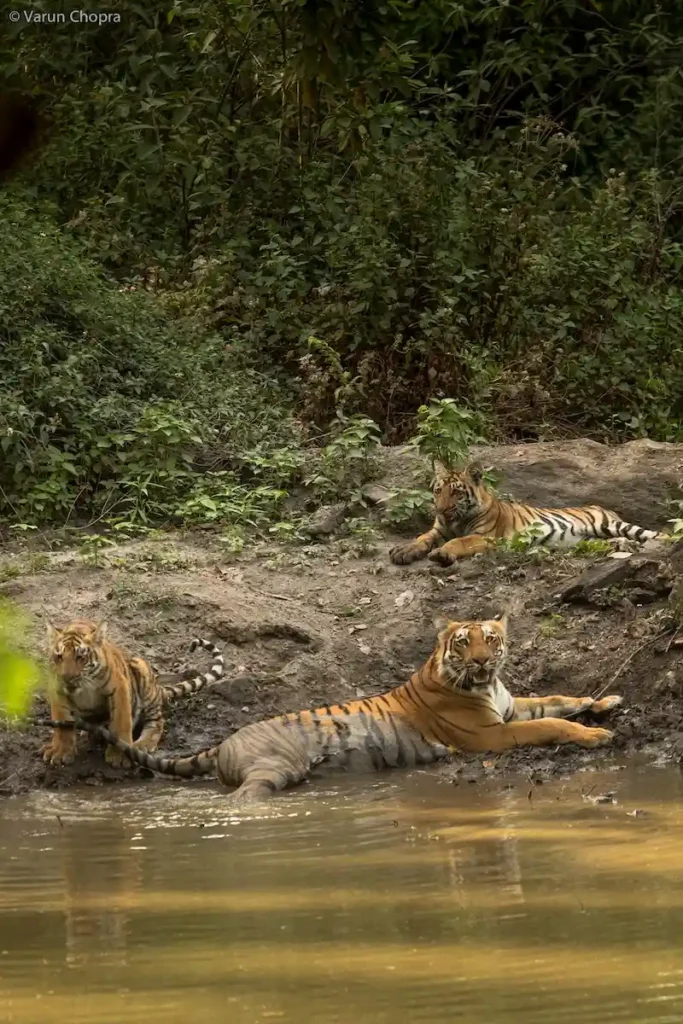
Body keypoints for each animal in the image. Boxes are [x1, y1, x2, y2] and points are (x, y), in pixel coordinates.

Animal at [43, 619, 224, 768]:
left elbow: (121, 722)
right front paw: (61, 752)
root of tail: (159, 688)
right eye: (59, 656)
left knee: (157, 722)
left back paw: (142, 744)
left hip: (141, 670)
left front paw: (120, 756)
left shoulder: (119, 687)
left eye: (80, 657)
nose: (66, 678)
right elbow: (63, 724)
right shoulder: (56, 690)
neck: (84, 686)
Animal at [65, 613, 622, 807]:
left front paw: (606, 702)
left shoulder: (508, 709)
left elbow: (555, 700)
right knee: (245, 793)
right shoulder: (490, 734)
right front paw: (597, 735)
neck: (485, 687)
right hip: (278, 765)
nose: (484, 661)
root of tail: (223, 741)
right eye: (465, 644)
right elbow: (551, 721)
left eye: (493, 639)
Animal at [390, 460, 665, 566]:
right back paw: (625, 547)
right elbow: (421, 538)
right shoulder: (438, 529)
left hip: (608, 524)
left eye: (456, 493)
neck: (455, 520)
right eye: (438, 491)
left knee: (651, 534)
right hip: (592, 539)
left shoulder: (486, 537)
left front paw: (442, 553)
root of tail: (602, 506)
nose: (441, 509)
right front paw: (403, 551)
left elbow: (461, 541)